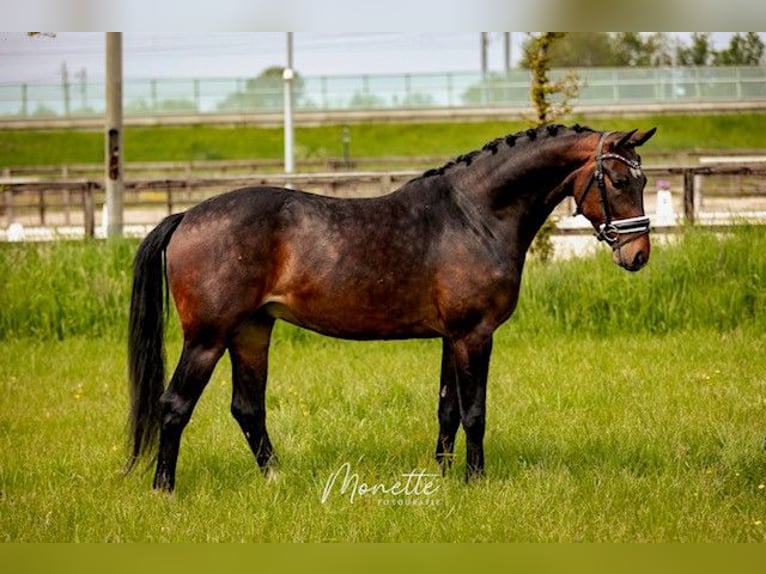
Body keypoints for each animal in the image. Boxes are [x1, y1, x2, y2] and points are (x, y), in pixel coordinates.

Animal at [126, 124, 660, 492]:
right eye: (616, 180)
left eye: (643, 178)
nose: (637, 255)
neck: (475, 215)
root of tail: (186, 216)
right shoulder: (474, 334)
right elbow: (475, 411)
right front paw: (475, 481)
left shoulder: (451, 337)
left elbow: (447, 409)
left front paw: (442, 477)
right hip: (208, 337)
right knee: (174, 405)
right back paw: (164, 490)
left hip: (252, 331)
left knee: (247, 407)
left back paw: (277, 479)